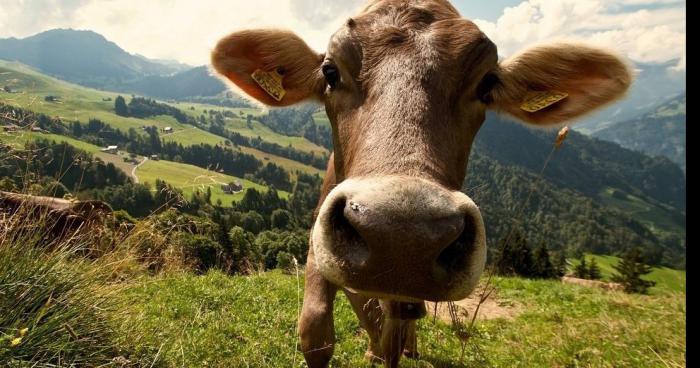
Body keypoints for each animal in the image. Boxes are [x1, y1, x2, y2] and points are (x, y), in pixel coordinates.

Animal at [211, 1, 632, 366]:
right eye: (330, 72)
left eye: (487, 84)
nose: (402, 234)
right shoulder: (319, 240)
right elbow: (315, 330)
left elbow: (393, 334)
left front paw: (389, 349)